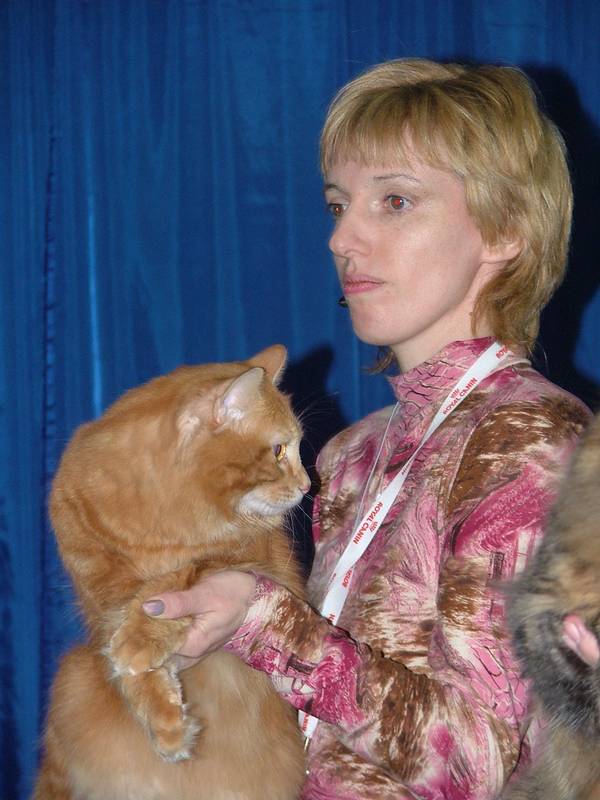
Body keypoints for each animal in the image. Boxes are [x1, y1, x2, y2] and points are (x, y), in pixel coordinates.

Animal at [33, 344, 309, 800]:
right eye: (278, 451)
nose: (307, 485)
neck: (158, 528)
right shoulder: (99, 583)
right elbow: (127, 650)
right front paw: (164, 721)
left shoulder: (241, 558)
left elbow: (173, 582)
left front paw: (141, 641)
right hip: (73, 674)